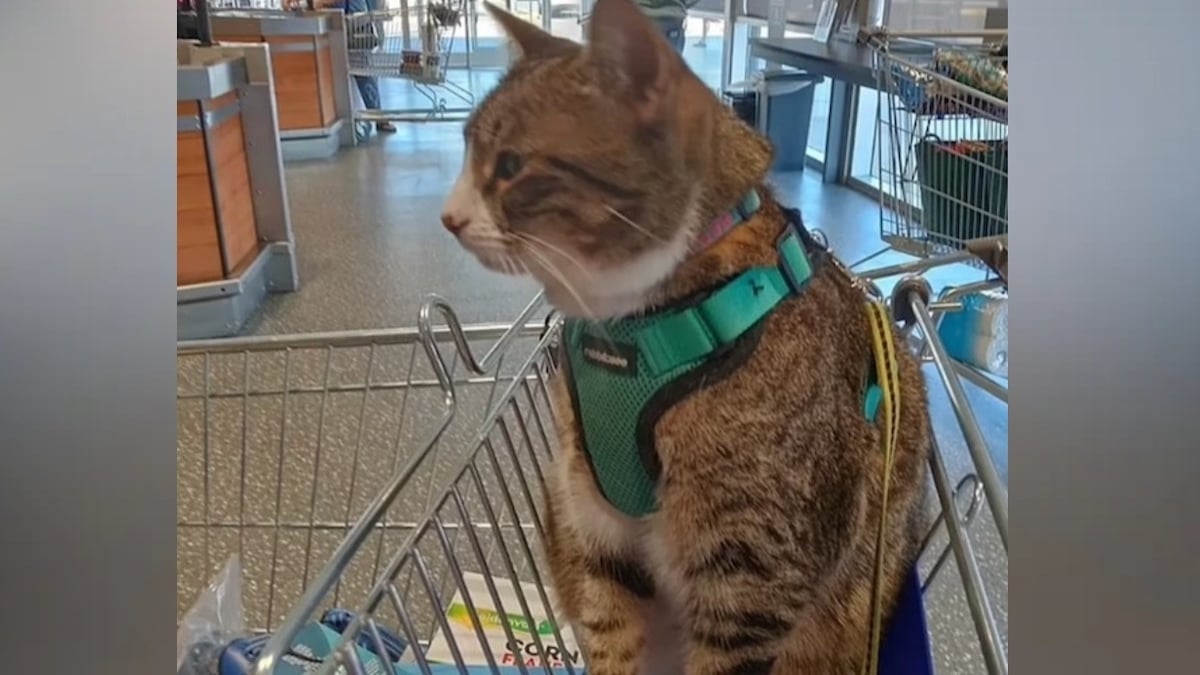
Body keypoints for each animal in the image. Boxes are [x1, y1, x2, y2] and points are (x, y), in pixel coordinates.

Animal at [441, 0, 936, 667]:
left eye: (512, 166)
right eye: (466, 151)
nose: (448, 217)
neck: (644, 323)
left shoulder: (752, 578)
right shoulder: (593, 527)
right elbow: (611, 635)